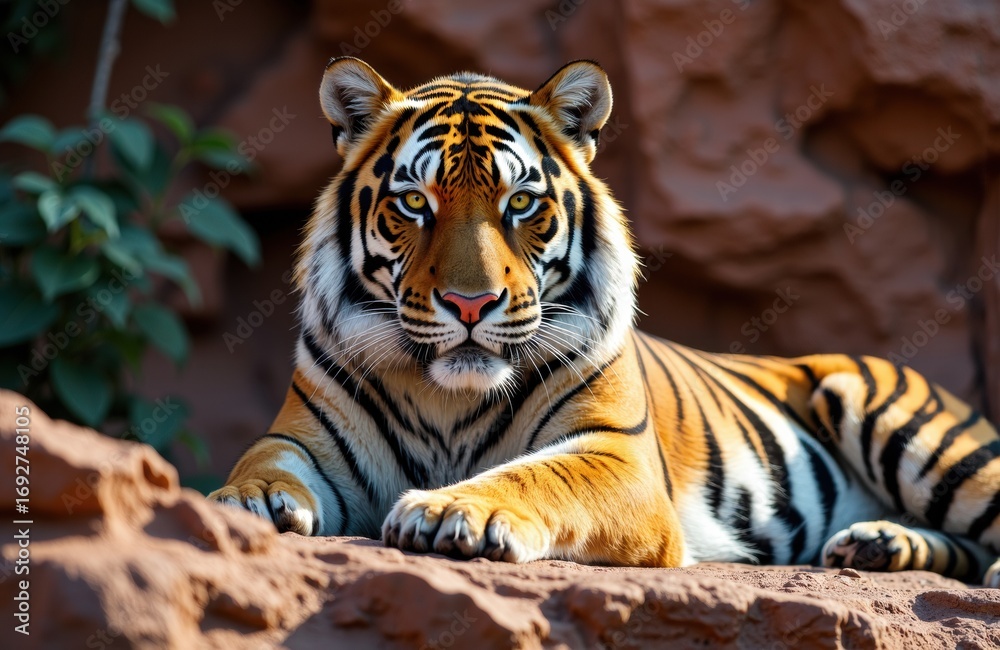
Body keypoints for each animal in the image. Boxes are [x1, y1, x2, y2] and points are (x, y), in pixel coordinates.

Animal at [209, 57, 1000, 586]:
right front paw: (245, 502)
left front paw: (448, 512)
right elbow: (262, 462)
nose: (470, 305)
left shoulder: (617, 456)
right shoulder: (304, 437)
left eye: (520, 204)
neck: (448, 398)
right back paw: (875, 545)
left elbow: (534, 477)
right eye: (414, 203)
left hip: (905, 423)